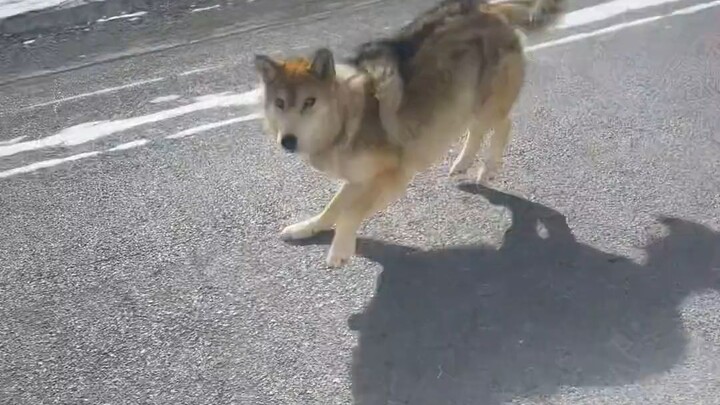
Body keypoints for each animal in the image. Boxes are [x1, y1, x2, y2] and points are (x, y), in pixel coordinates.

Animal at [253, 0, 566, 267]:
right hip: (460, 103)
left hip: (483, 104)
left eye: (309, 102)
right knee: (477, 129)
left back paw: (487, 169)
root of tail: (489, 7)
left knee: (503, 124)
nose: (287, 141)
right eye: (280, 103)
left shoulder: (393, 175)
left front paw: (340, 249)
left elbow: (350, 213)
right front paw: (307, 228)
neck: (346, 118)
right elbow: (332, 208)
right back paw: (461, 164)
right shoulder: (357, 178)